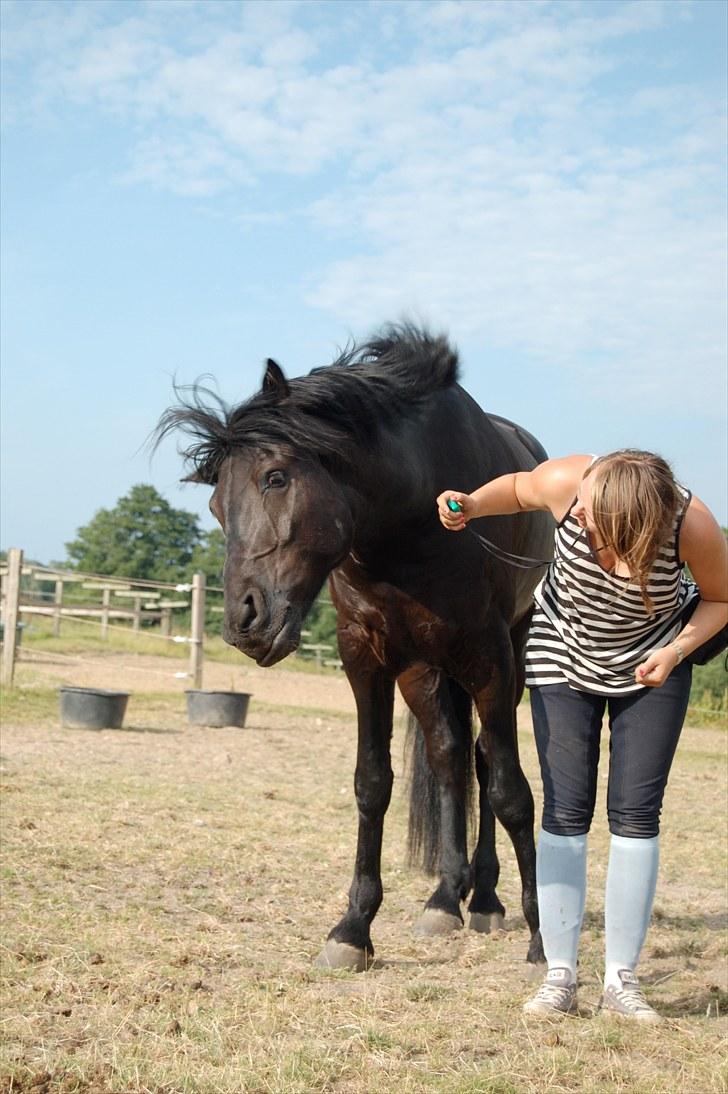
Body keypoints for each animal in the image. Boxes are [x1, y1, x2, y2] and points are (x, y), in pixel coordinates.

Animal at [157, 321, 551, 967]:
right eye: (216, 504)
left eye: (276, 477)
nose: (244, 620)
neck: (413, 520)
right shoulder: (364, 657)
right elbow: (373, 784)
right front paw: (352, 928)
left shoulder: (490, 659)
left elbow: (510, 792)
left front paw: (544, 940)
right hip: (424, 670)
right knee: (448, 758)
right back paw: (447, 898)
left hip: (500, 661)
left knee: (482, 761)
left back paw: (487, 899)